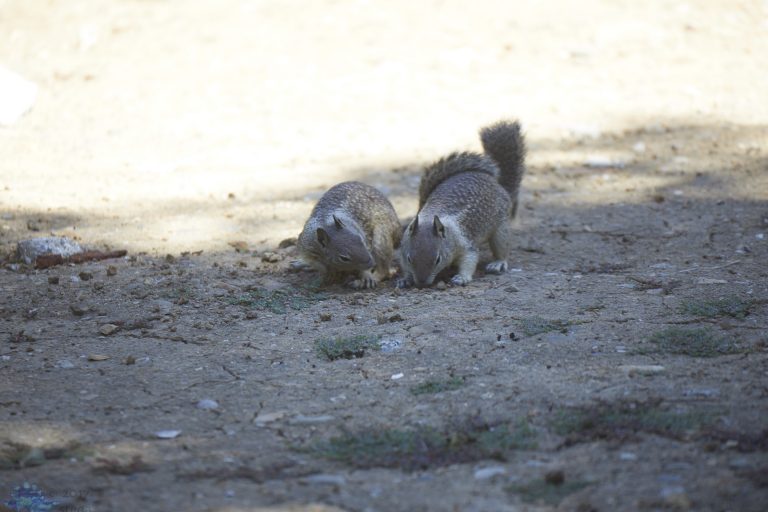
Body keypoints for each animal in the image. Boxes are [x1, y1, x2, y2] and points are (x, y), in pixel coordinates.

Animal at [397, 120, 526, 288]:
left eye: (438, 259)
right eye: (409, 258)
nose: (422, 283)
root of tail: (500, 186)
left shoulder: (465, 243)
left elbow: (469, 260)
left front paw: (461, 278)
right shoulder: (403, 247)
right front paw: (405, 279)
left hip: (501, 227)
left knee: (502, 247)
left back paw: (498, 263)